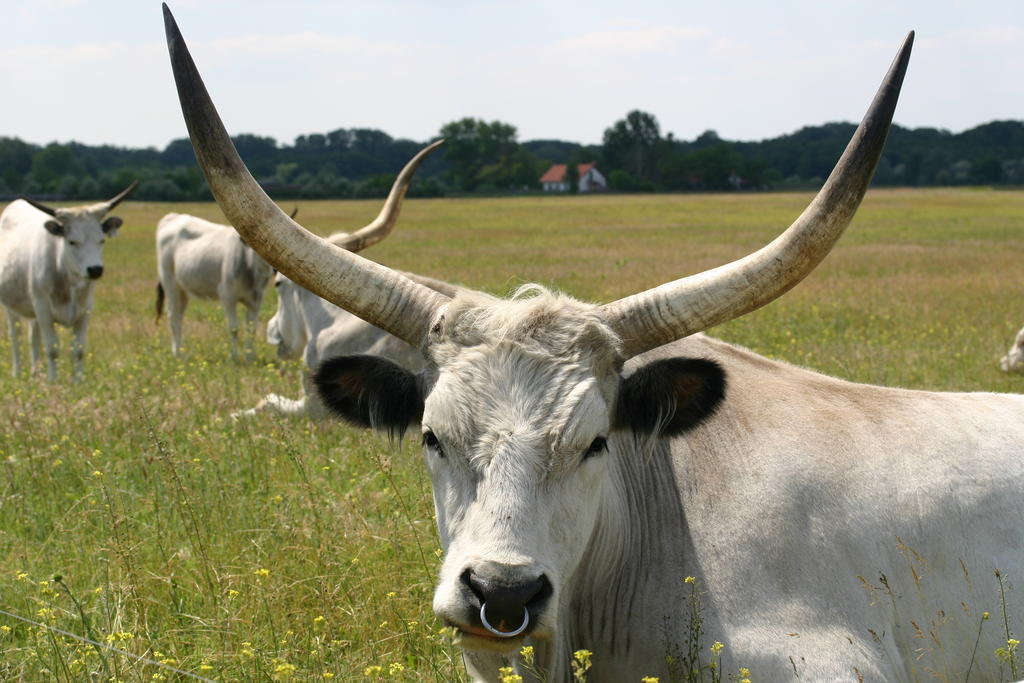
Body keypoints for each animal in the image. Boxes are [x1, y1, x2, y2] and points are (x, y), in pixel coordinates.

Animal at [0, 183, 138, 385]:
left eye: (101, 240)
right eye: (72, 242)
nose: (95, 269)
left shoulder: (85, 308)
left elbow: (78, 349)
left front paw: (78, 382)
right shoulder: (43, 308)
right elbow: (52, 348)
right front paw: (53, 381)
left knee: (33, 336)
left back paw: (36, 373)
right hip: (12, 307)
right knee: (15, 336)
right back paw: (17, 373)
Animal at [154, 204, 299, 358]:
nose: (273, 269)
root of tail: (173, 216)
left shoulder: (255, 301)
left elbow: (251, 328)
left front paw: (250, 356)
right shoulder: (227, 296)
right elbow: (234, 328)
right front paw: (235, 356)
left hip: (183, 290)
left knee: (180, 316)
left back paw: (181, 350)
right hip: (170, 284)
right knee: (173, 317)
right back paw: (177, 353)